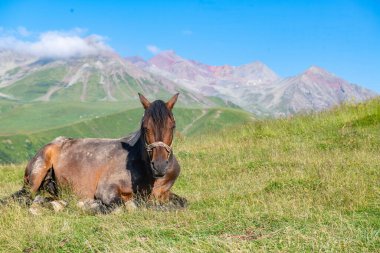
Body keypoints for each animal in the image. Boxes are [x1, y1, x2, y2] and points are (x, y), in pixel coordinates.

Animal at [2, 93, 187, 211]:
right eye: (145, 126)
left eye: (173, 126)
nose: (160, 166)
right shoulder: (107, 190)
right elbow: (130, 205)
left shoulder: (165, 194)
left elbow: (183, 202)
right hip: (36, 175)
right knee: (25, 198)